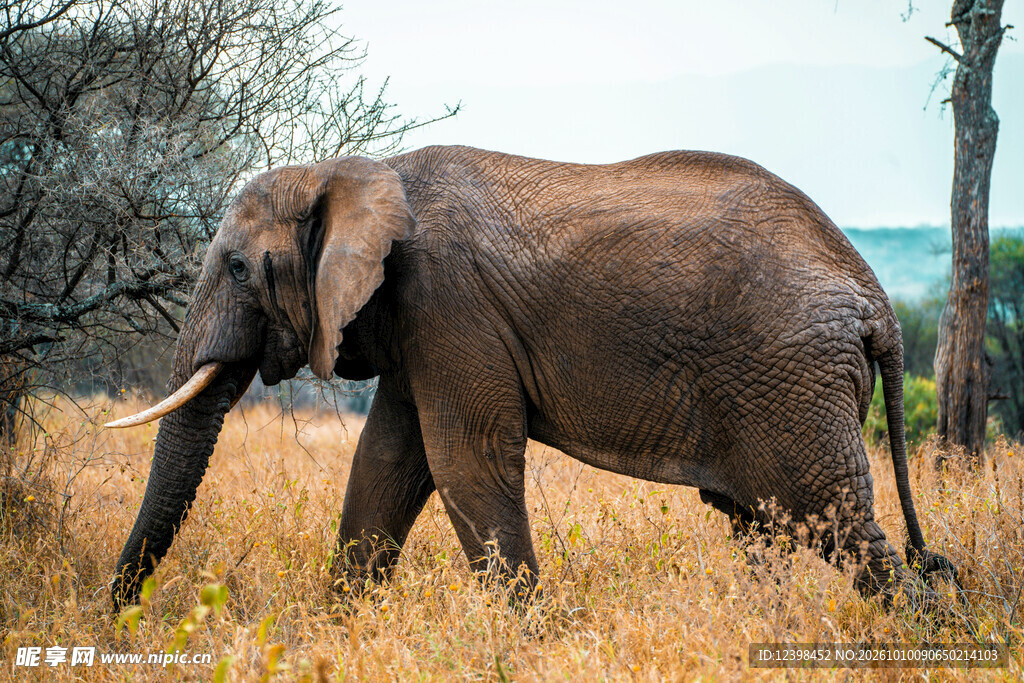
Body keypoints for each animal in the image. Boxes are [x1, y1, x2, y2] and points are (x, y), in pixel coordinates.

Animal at [108, 145, 953, 609]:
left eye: (238, 267)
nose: (117, 612)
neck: (349, 171)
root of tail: (876, 299)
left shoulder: (447, 302)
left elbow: (465, 460)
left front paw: (526, 635)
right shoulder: (419, 324)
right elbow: (385, 466)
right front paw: (337, 625)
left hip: (791, 379)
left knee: (836, 521)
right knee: (766, 523)